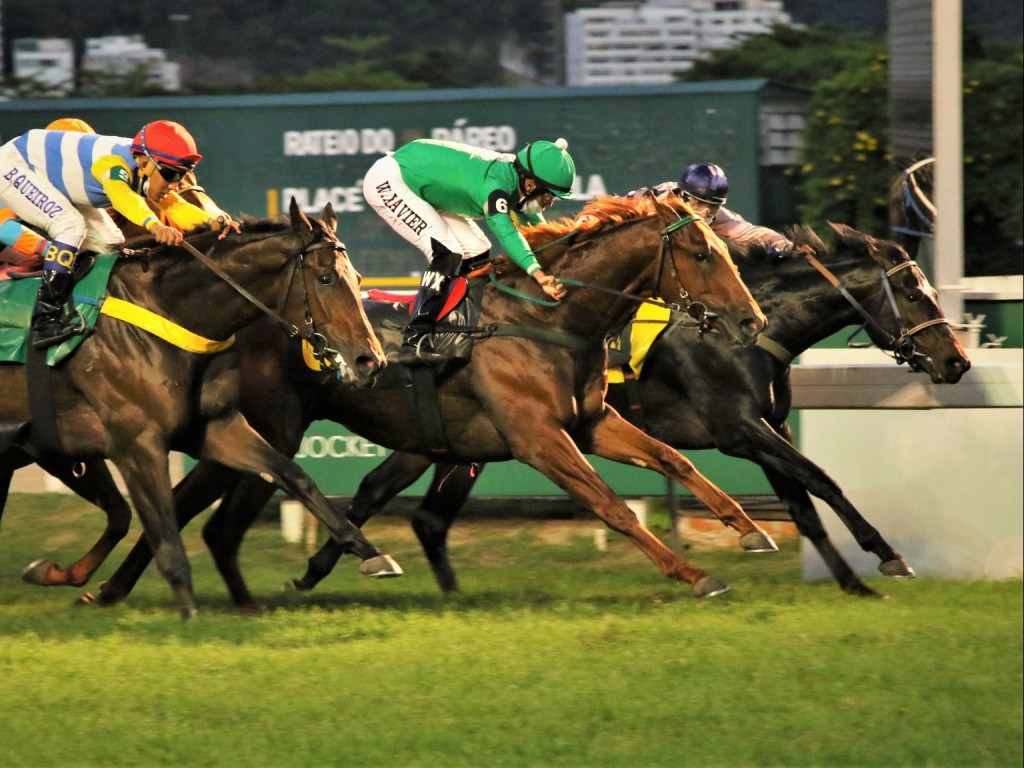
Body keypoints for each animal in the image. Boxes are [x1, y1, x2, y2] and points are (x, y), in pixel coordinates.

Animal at [0, 199, 399, 618]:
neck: (167, 310)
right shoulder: (136, 445)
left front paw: (369, 552)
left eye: (357, 277)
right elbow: (165, 537)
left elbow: (292, 474)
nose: (371, 361)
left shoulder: (214, 426)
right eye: (325, 278)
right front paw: (188, 615)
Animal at [284, 219, 970, 598]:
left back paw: (330, 572)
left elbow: (802, 504)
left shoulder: (763, 429)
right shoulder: (739, 429)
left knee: (396, 502)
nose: (957, 360)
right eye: (913, 291)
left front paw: (852, 580)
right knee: (401, 505)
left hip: (444, 441)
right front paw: (885, 555)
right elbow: (820, 481)